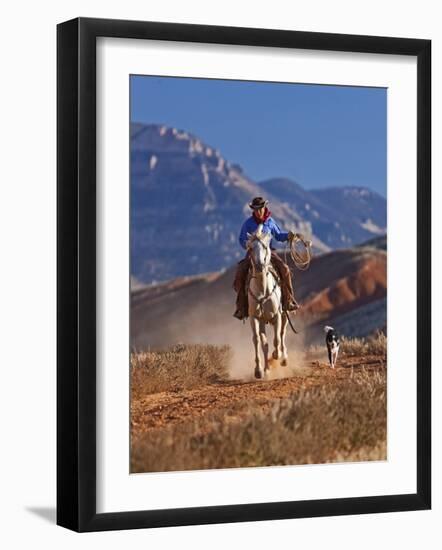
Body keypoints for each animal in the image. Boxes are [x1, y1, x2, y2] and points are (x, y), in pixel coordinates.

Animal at [247, 224, 288, 380]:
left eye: (265, 246)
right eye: (251, 248)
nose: (259, 266)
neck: (263, 290)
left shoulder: (277, 316)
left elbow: (277, 339)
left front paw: (277, 355)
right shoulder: (254, 318)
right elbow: (257, 340)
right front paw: (259, 370)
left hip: (284, 315)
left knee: (282, 334)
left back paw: (283, 359)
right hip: (263, 321)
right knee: (265, 343)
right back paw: (267, 368)